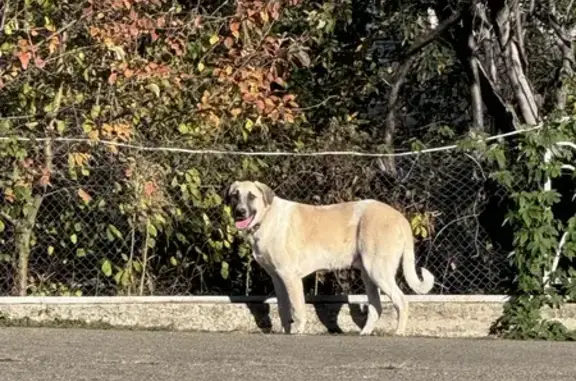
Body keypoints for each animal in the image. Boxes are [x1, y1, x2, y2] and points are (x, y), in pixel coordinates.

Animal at [224, 180, 432, 334]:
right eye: (235, 196)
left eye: (252, 196)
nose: (240, 212)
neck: (266, 218)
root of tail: (400, 217)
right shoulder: (278, 279)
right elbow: (283, 309)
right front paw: (285, 331)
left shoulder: (290, 277)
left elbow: (297, 308)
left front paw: (298, 331)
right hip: (369, 275)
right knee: (376, 307)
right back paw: (365, 333)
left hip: (378, 271)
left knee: (401, 301)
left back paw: (399, 332)